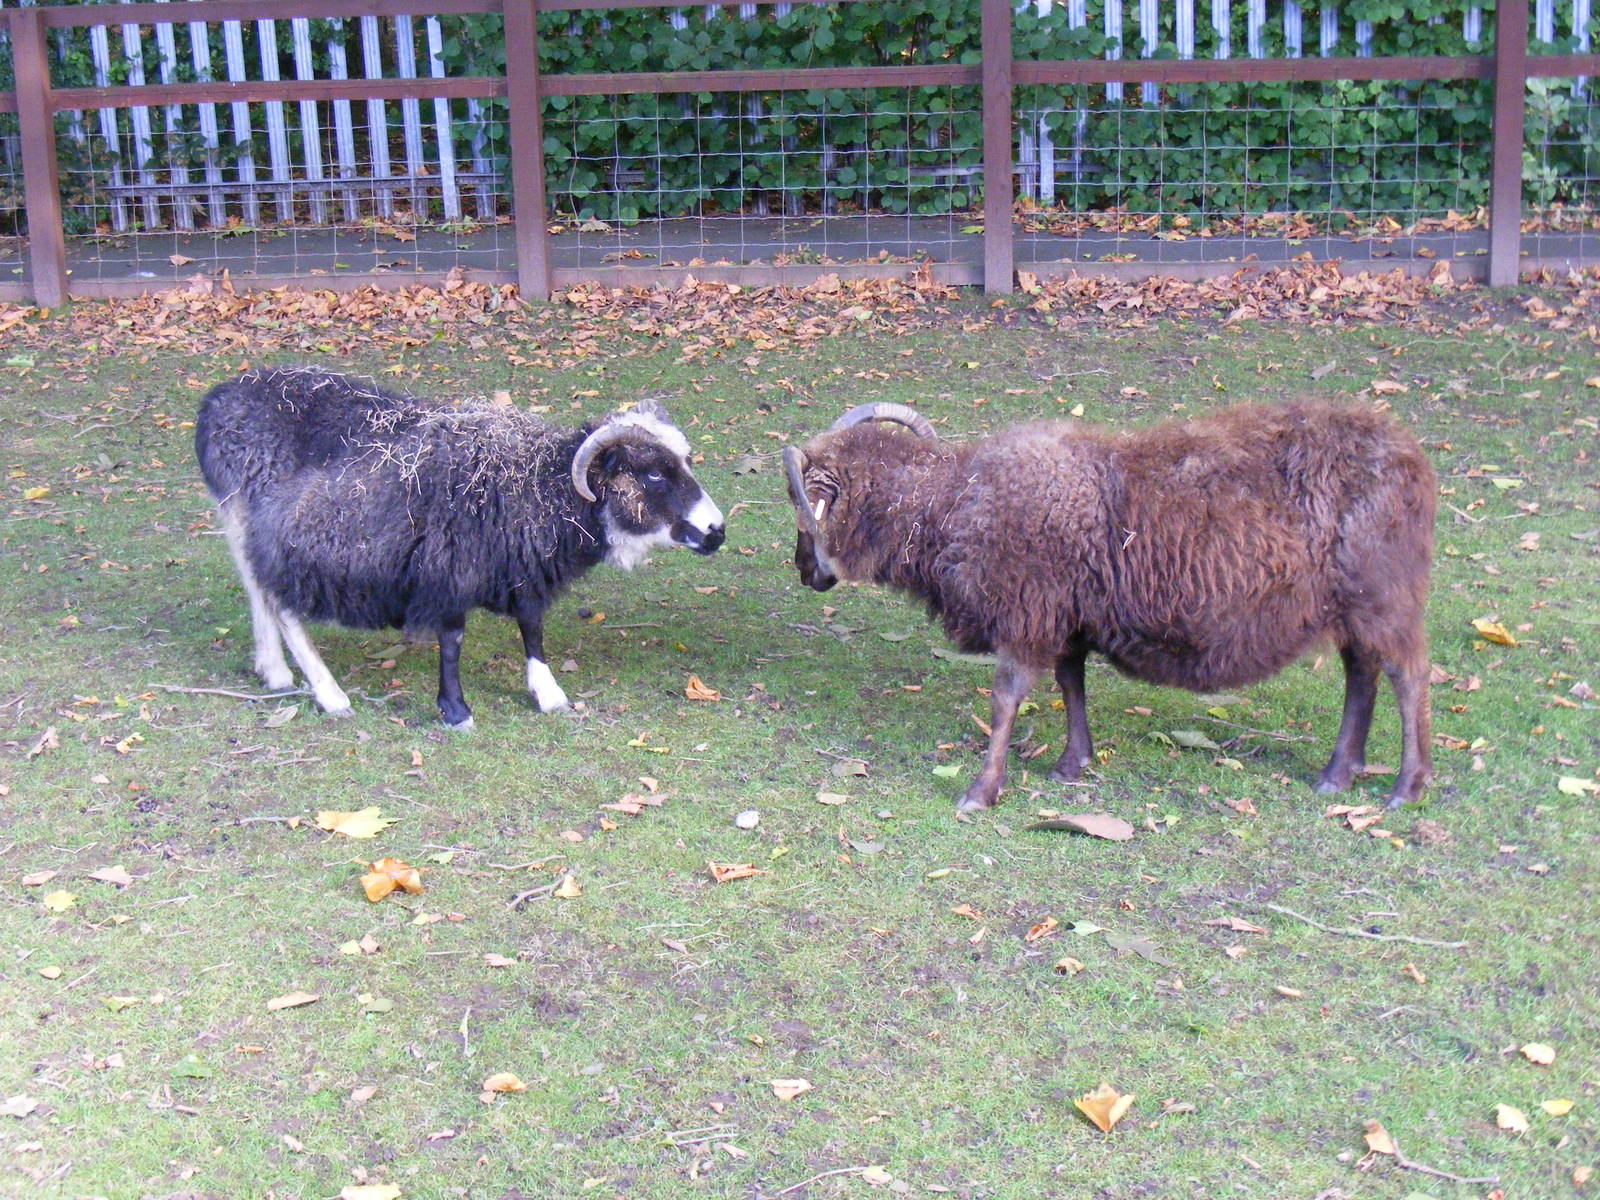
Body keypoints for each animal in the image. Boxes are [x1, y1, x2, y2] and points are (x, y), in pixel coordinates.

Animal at [196, 367, 724, 728]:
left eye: (686, 461)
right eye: (652, 474)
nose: (717, 531)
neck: (538, 484)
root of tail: (216, 401)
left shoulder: (519, 563)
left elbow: (531, 626)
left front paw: (547, 692)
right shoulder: (447, 566)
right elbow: (452, 640)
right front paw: (455, 710)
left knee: (258, 593)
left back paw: (274, 672)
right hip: (276, 531)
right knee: (277, 601)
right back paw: (328, 694)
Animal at [782, 400, 1435, 813]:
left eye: (800, 503)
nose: (804, 570)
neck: (954, 501)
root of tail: (1412, 457)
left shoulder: (1025, 613)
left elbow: (1006, 698)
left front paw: (981, 791)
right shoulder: (1067, 617)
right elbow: (1071, 682)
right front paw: (1074, 762)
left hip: (1385, 594)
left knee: (1407, 677)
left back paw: (1405, 787)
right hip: (1352, 607)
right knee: (1362, 674)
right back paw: (1337, 774)